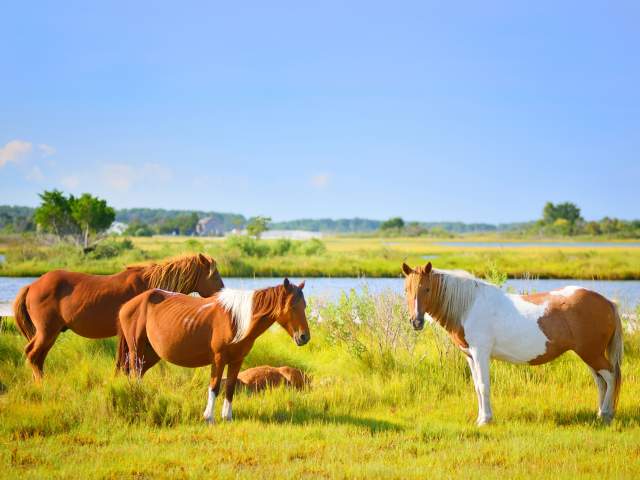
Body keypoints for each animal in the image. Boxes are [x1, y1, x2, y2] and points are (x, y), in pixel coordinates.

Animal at [12, 253, 224, 380]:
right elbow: (126, 361)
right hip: (47, 331)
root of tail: (32, 286)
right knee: (33, 355)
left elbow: (122, 362)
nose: (222, 293)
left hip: (50, 334)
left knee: (38, 358)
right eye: (214, 276)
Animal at [119, 280, 312, 422]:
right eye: (292, 306)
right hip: (136, 349)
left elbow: (230, 387)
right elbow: (214, 387)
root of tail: (128, 305)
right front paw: (209, 417)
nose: (304, 337)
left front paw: (227, 417)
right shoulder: (218, 359)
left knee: (138, 373)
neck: (236, 320)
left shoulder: (237, 360)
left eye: (304, 306)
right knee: (135, 373)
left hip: (150, 354)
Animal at [402, 262, 624, 424]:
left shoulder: (481, 353)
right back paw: (600, 413)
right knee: (601, 381)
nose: (416, 322)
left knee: (610, 376)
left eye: (427, 289)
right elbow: (476, 387)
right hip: (589, 354)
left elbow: (483, 385)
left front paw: (486, 420)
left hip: (591, 353)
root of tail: (607, 303)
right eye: (406, 290)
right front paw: (480, 418)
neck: (469, 306)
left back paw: (606, 414)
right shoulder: (470, 356)